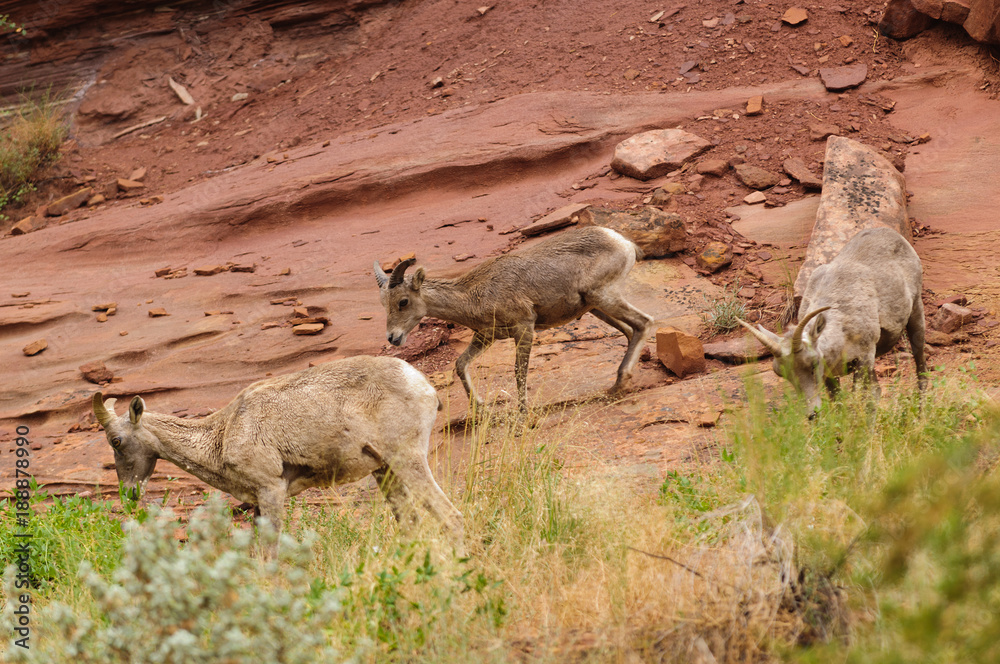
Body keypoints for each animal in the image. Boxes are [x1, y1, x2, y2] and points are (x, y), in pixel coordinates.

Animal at [92, 355, 463, 547]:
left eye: (116, 441)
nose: (129, 494)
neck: (221, 435)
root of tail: (424, 386)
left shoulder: (271, 489)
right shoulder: (257, 501)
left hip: (408, 459)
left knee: (451, 517)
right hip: (384, 470)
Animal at [374, 226, 655, 411]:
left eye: (403, 301)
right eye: (383, 303)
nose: (393, 338)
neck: (474, 294)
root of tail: (622, 242)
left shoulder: (524, 328)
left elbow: (520, 371)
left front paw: (523, 412)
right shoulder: (486, 336)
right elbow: (460, 364)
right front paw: (480, 407)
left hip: (603, 296)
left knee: (644, 323)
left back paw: (620, 383)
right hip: (596, 306)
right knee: (630, 331)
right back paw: (619, 384)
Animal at [738, 227, 927, 413]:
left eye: (813, 364)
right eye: (781, 373)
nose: (812, 414)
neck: (843, 334)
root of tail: (888, 232)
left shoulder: (864, 359)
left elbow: (862, 400)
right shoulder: (831, 374)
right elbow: (841, 404)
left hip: (916, 314)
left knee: (921, 370)